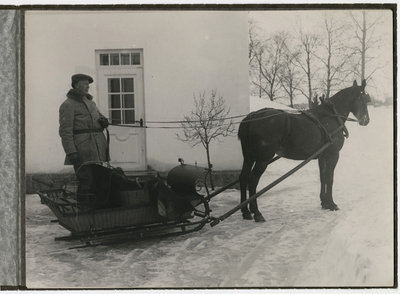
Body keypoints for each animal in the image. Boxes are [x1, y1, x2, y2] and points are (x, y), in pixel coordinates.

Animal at [239, 79, 370, 222]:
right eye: (364, 98)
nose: (366, 120)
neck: (331, 116)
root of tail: (252, 116)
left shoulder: (322, 157)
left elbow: (323, 178)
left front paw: (324, 203)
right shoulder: (333, 155)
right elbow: (330, 178)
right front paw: (332, 204)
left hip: (249, 156)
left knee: (243, 176)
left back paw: (246, 212)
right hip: (263, 158)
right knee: (253, 179)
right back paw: (257, 212)